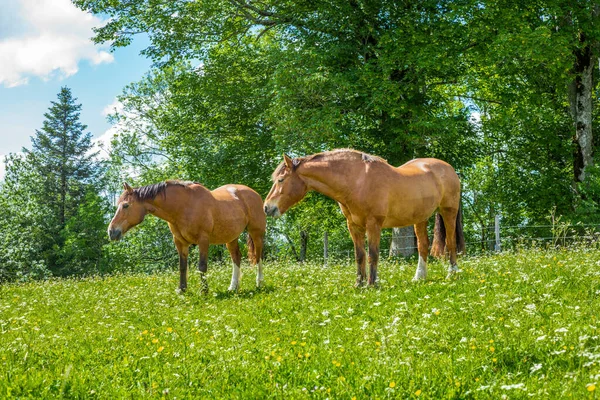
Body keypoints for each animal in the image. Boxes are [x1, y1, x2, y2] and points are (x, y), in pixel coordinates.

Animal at [108, 180, 268, 292]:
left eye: (126, 205)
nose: (111, 231)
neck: (183, 207)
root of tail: (253, 193)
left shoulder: (203, 240)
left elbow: (202, 266)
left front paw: (204, 291)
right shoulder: (180, 243)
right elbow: (182, 266)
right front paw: (182, 289)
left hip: (256, 233)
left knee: (258, 256)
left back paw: (259, 283)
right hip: (231, 238)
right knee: (236, 257)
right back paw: (233, 287)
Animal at [264, 149, 466, 284]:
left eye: (281, 180)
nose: (267, 207)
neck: (357, 181)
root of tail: (447, 168)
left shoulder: (373, 225)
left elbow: (373, 254)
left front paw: (372, 284)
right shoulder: (353, 226)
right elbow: (359, 255)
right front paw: (359, 284)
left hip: (448, 212)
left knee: (450, 242)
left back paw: (452, 273)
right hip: (420, 218)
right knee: (423, 246)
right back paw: (419, 277)